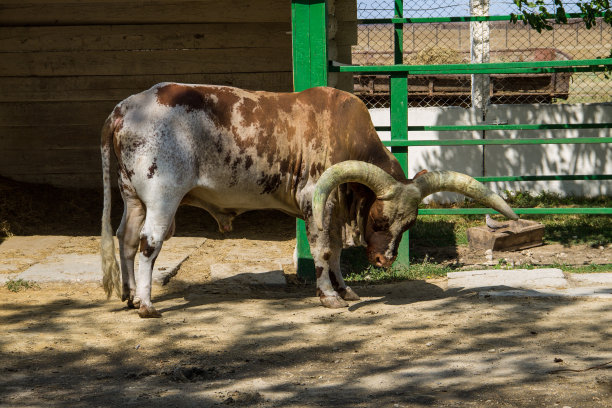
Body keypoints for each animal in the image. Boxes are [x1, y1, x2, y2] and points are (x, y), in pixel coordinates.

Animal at [101, 83, 516, 318]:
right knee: (148, 244)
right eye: (378, 221)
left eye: (409, 223)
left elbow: (335, 249)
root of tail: (123, 109)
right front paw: (329, 297)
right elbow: (323, 249)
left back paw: (129, 296)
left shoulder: (334, 207)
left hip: (133, 198)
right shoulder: (316, 202)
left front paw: (345, 289)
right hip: (162, 197)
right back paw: (147, 305)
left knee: (125, 239)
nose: (384, 260)